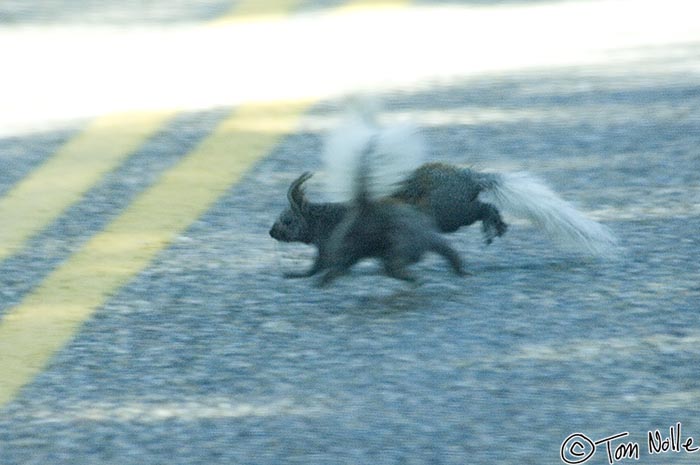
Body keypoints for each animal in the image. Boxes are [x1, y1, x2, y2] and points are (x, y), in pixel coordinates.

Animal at [270, 104, 616, 282]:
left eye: (287, 220)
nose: (271, 232)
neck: (326, 217)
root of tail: (471, 178)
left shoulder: (335, 241)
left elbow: (327, 263)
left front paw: (303, 275)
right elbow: (318, 264)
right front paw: (296, 274)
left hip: (449, 213)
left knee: (480, 208)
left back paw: (492, 224)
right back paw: (495, 225)